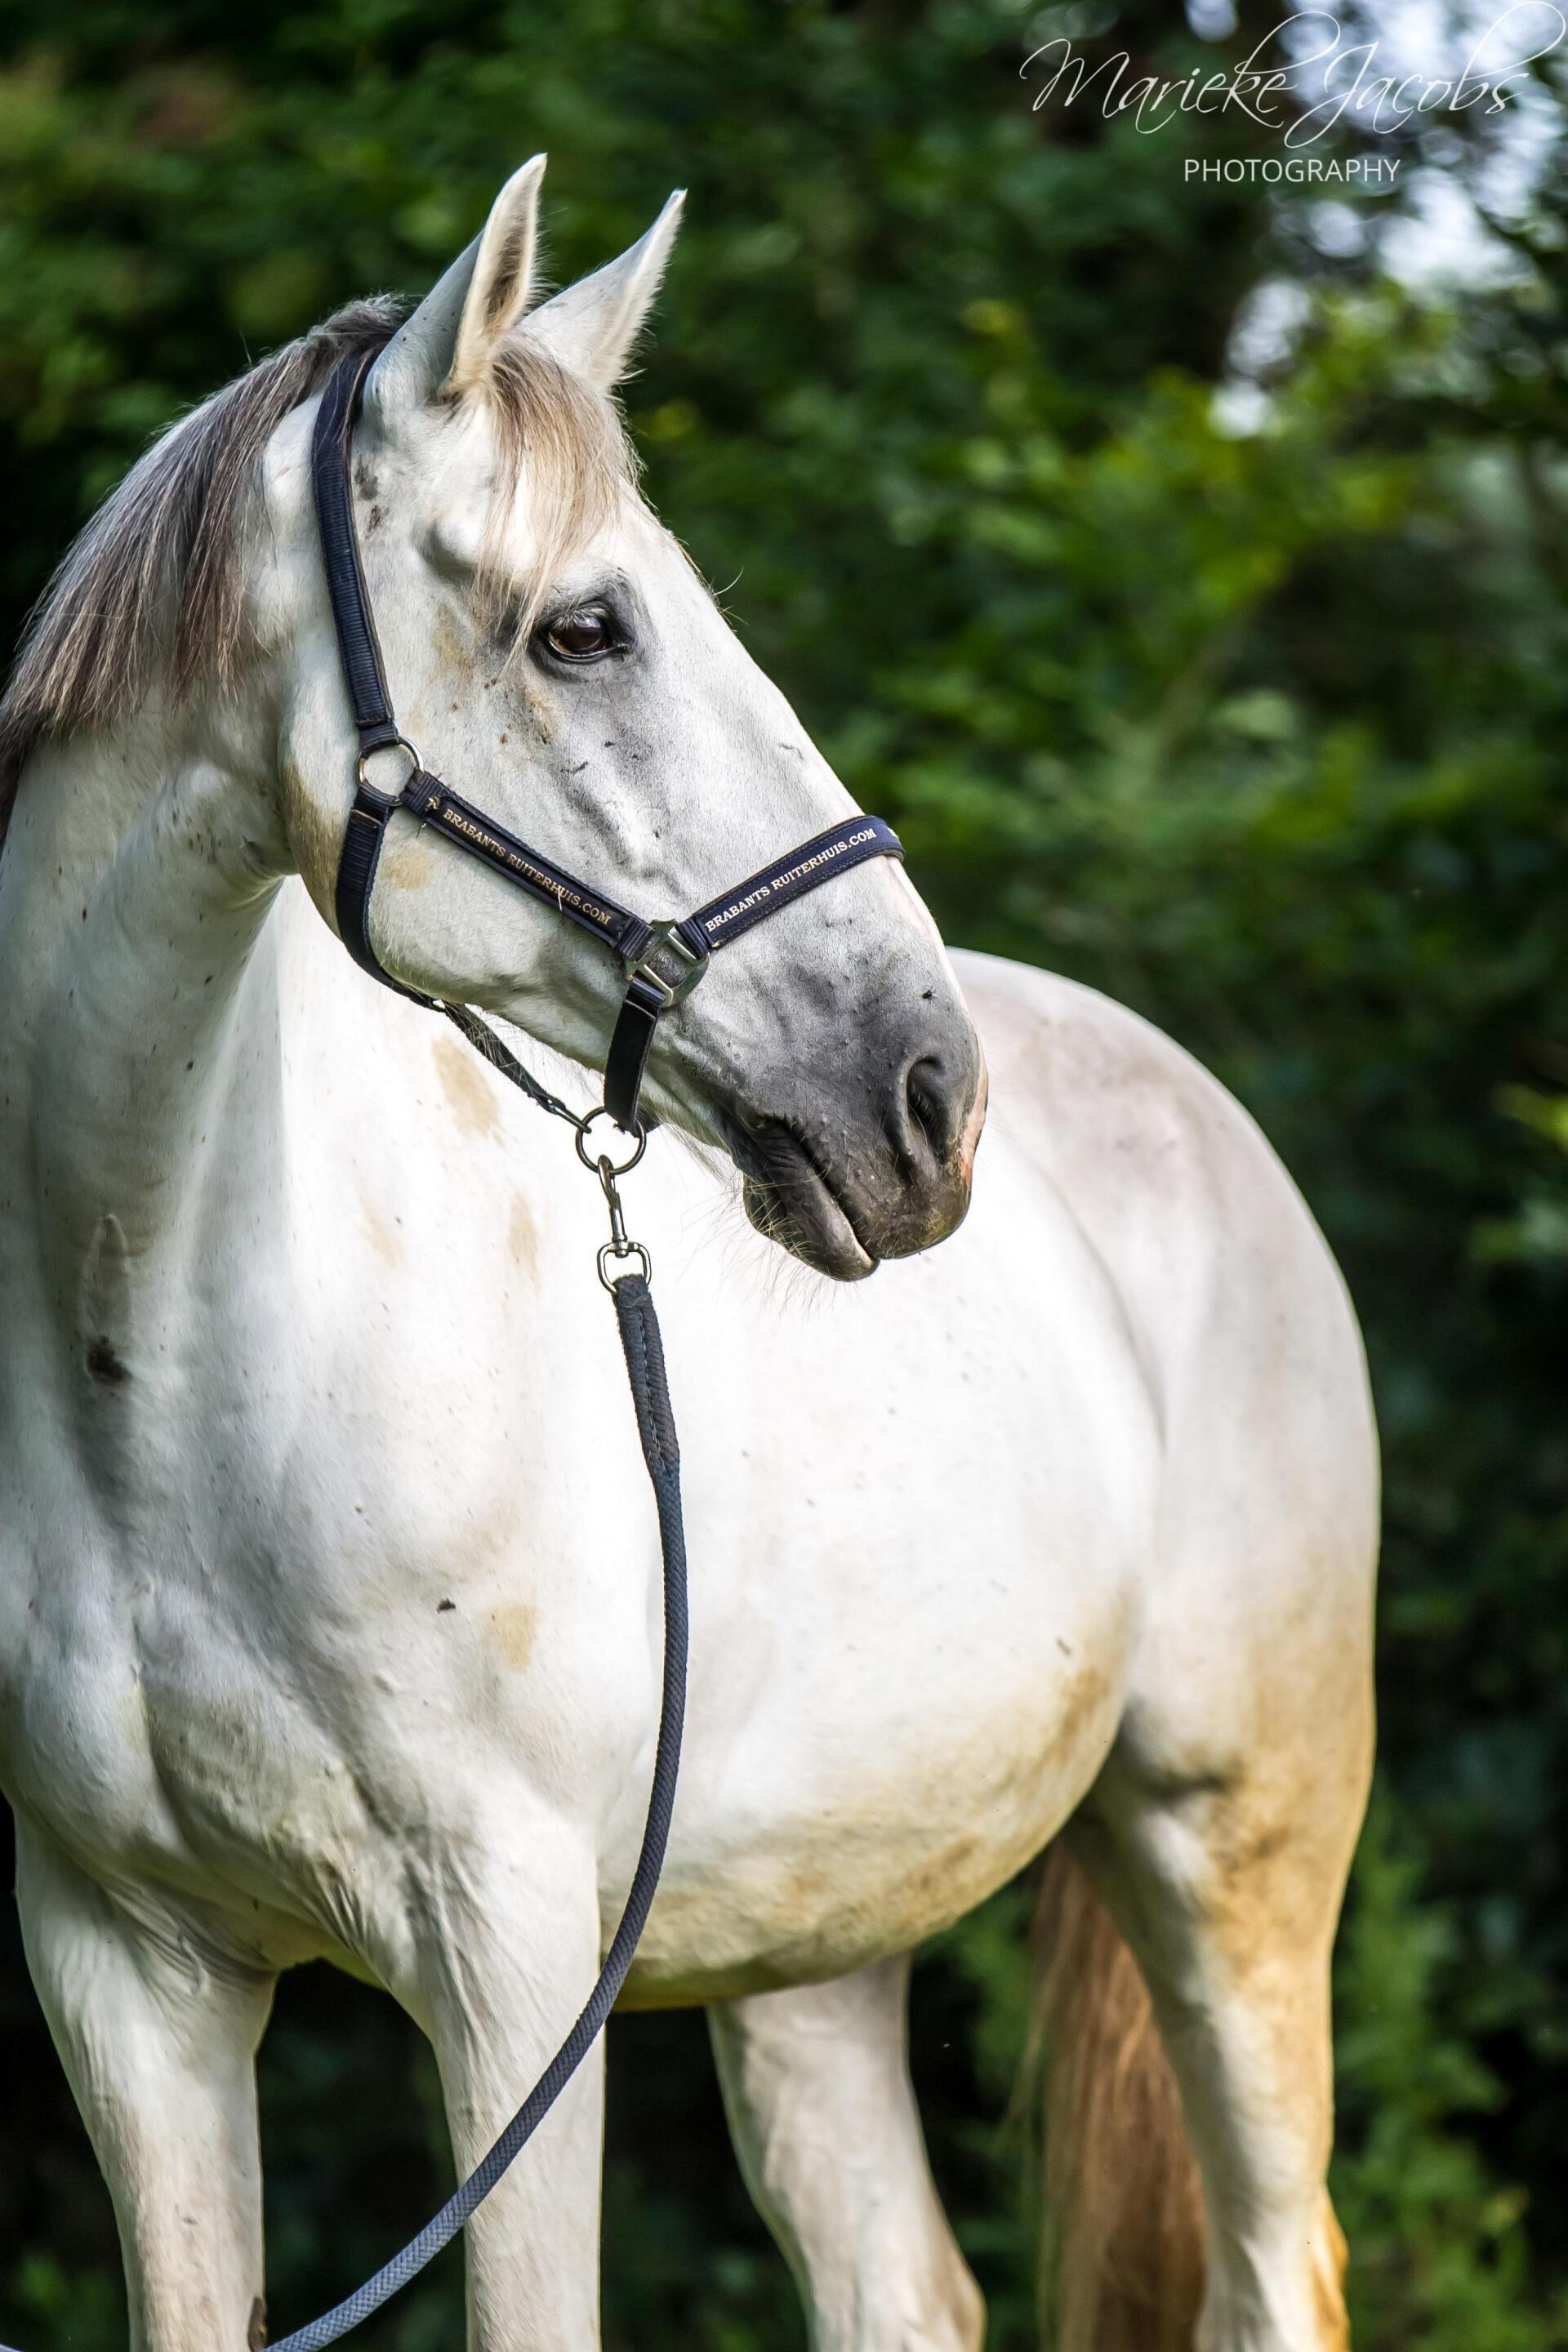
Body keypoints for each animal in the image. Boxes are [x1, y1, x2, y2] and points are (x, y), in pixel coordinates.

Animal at [0, 160, 1377, 2352]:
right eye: (584, 627)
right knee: (906, 2291)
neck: (167, 1376)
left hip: (1235, 1858)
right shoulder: (129, 1978)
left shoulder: (511, 1972)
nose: (924, 1093)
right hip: (819, 1948)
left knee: (1273, 2266)